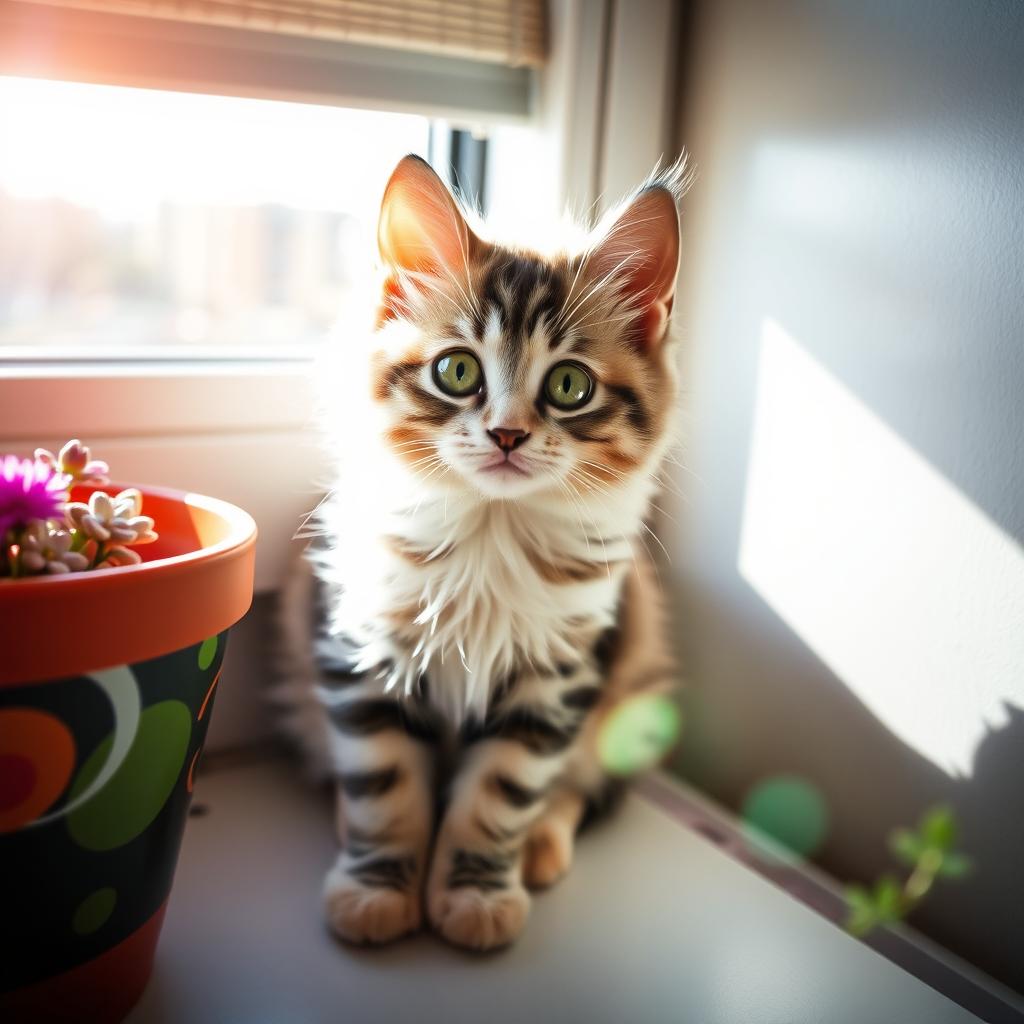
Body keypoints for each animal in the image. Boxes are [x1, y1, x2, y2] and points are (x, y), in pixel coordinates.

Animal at [276, 153, 684, 950]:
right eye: (458, 372)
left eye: (569, 385)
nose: (507, 434)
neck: (490, 538)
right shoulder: (360, 646)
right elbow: (385, 790)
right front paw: (377, 890)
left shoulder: (557, 675)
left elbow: (500, 795)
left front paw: (476, 894)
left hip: (633, 691)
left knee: (580, 789)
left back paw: (541, 847)